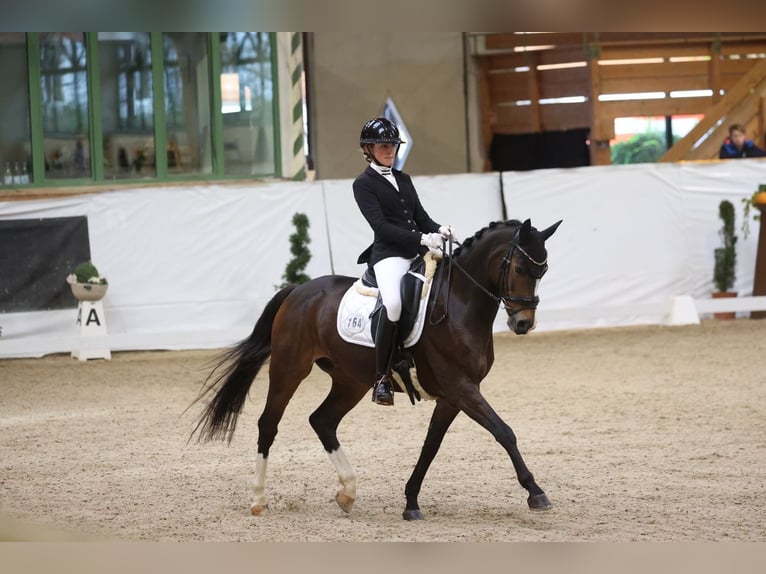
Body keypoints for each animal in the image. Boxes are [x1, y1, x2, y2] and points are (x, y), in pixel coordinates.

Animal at [192, 217, 564, 520]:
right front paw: (536, 493)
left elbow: (431, 446)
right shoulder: (461, 387)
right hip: (289, 368)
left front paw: (411, 502)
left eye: (543, 271)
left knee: (322, 421)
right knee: (268, 423)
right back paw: (258, 499)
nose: (522, 324)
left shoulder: (452, 396)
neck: (459, 304)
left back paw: (347, 492)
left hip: (350, 381)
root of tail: (299, 290)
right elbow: (504, 431)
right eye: (519, 270)